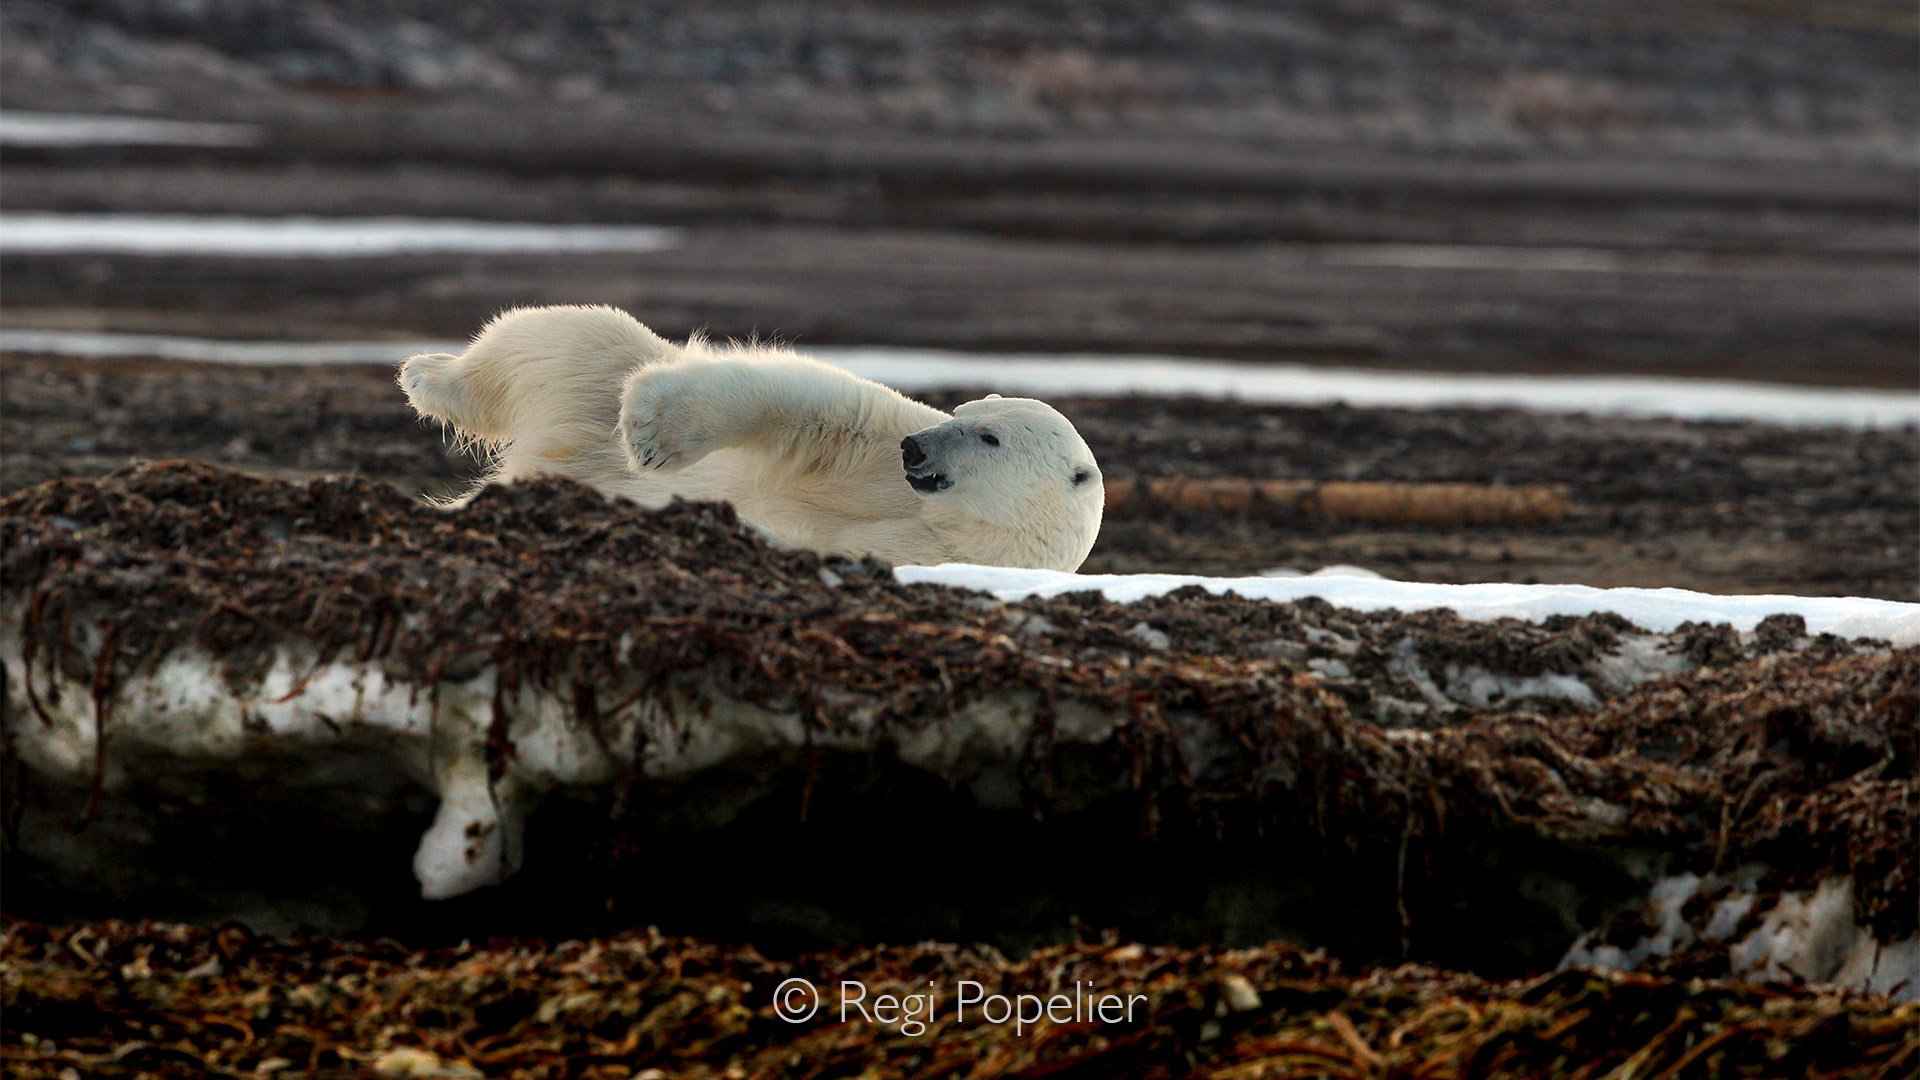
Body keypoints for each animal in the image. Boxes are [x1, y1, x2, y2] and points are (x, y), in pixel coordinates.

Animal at [399, 305, 1104, 571]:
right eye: (963, 408)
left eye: (988, 438)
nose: (918, 448)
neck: (948, 521)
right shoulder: (880, 446)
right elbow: (820, 412)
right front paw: (654, 435)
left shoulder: (939, 554)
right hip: (598, 373)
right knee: (560, 335)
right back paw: (427, 374)